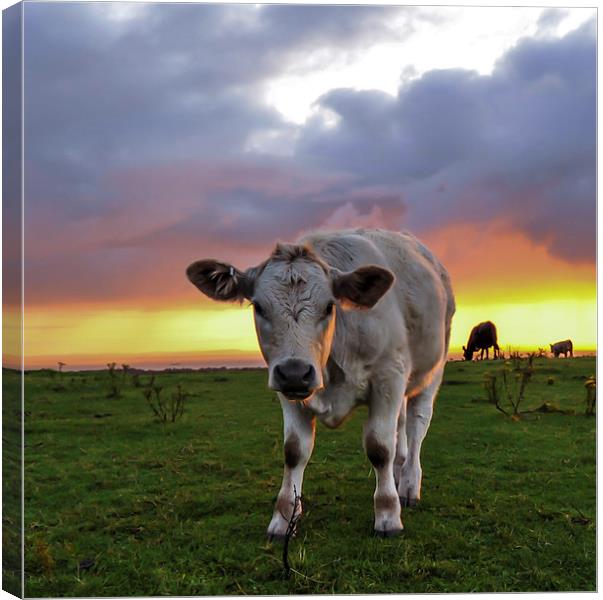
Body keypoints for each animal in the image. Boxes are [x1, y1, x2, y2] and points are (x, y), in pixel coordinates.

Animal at [186, 230, 456, 540]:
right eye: (259, 307)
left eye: (329, 306)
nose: (295, 372)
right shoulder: (289, 392)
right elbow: (294, 451)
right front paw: (284, 518)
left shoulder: (388, 377)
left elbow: (379, 447)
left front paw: (388, 515)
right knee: (400, 427)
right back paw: (398, 475)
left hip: (431, 372)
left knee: (416, 427)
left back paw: (410, 485)